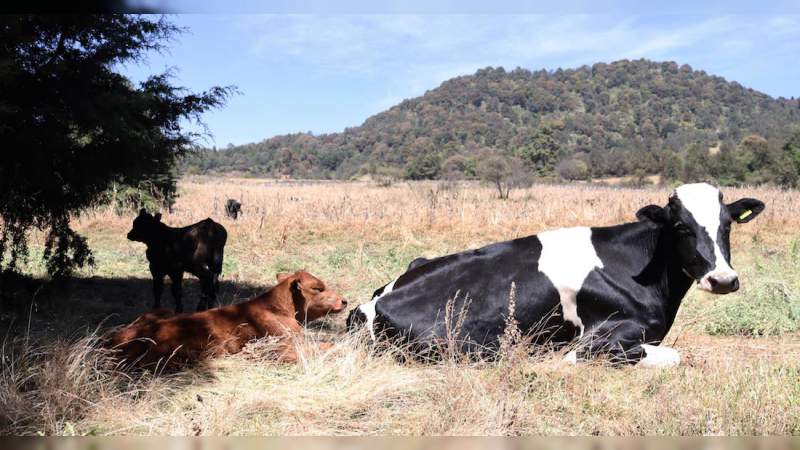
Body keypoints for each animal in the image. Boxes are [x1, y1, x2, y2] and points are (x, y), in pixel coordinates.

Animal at [348, 185, 764, 368]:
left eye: (727, 224)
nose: (723, 279)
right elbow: (672, 356)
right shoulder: (604, 337)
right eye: (680, 226)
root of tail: (372, 302)